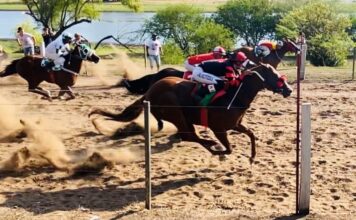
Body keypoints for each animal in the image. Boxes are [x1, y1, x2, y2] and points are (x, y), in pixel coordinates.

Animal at [90, 62, 294, 162]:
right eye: (274, 76)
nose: (289, 89)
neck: (234, 96)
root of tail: (150, 90)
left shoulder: (235, 125)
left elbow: (251, 134)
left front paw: (252, 157)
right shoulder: (219, 128)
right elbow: (229, 148)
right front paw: (219, 150)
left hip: (183, 117)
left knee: (188, 135)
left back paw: (210, 145)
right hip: (176, 114)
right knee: (190, 135)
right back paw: (211, 144)